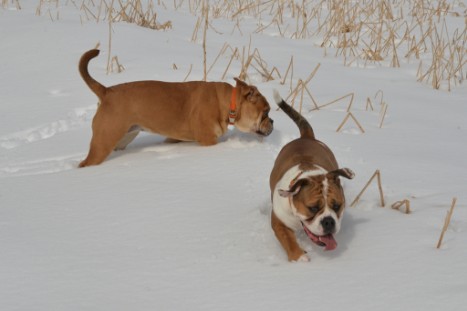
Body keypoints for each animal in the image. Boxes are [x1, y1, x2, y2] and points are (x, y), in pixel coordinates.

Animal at [77, 50, 274, 167]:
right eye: (266, 111)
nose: (272, 121)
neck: (227, 103)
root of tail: (106, 91)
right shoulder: (208, 140)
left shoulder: (174, 138)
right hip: (103, 142)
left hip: (123, 138)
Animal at [270, 91, 354, 262]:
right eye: (313, 208)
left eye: (337, 206)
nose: (328, 221)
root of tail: (307, 137)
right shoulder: (279, 221)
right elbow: (287, 240)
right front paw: (300, 257)